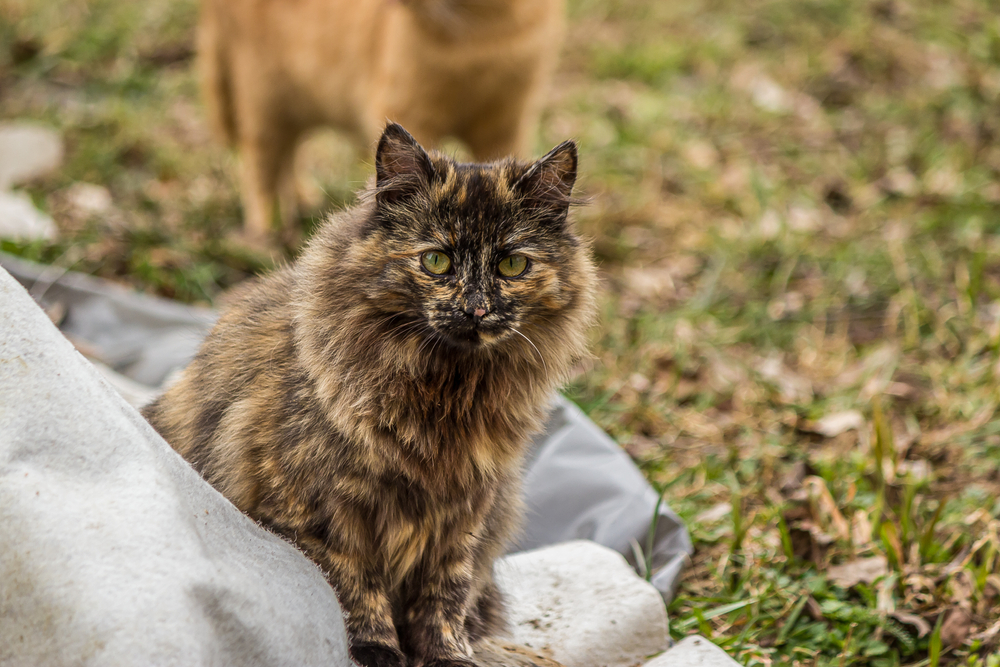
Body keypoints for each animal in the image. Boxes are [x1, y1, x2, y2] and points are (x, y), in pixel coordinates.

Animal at [141, 125, 592, 667]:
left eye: (512, 264)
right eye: (436, 260)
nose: (476, 309)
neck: (447, 394)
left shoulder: (466, 513)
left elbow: (445, 595)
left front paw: (448, 655)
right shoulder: (323, 509)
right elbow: (354, 585)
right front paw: (376, 650)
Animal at [199, 0, 568, 243]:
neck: (480, 34)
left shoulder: (509, 122)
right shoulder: (410, 113)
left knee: (289, 157)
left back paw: (302, 202)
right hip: (264, 97)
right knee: (259, 168)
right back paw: (265, 232)